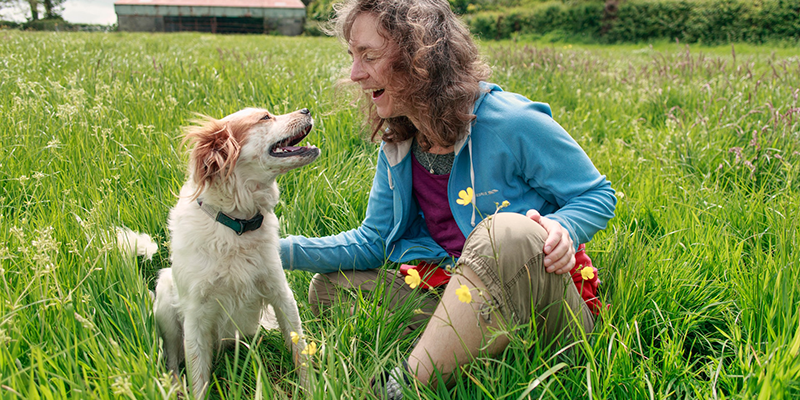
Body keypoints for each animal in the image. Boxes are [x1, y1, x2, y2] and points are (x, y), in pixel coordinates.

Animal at [153, 106, 318, 396]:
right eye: (265, 117)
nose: (306, 109)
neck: (237, 225)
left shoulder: (281, 294)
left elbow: (300, 351)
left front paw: (313, 390)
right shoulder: (195, 316)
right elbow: (197, 375)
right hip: (164, 296)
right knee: (172, 358)